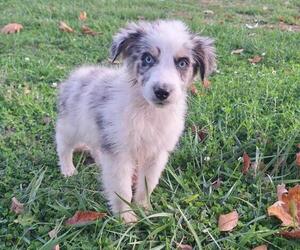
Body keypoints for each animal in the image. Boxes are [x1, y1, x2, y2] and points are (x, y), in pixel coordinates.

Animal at [55, 20, 216, 223]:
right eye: (147, 59)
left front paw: (144, 208)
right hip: (70, 125)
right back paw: (68, 169)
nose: (162, 92)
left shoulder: (156, 153)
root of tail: (78, 73)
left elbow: (148, 183)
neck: (148, 112)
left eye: (182, 63)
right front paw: (126, 218)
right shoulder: (120, 153)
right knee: (63, 146)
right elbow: (122, 188)